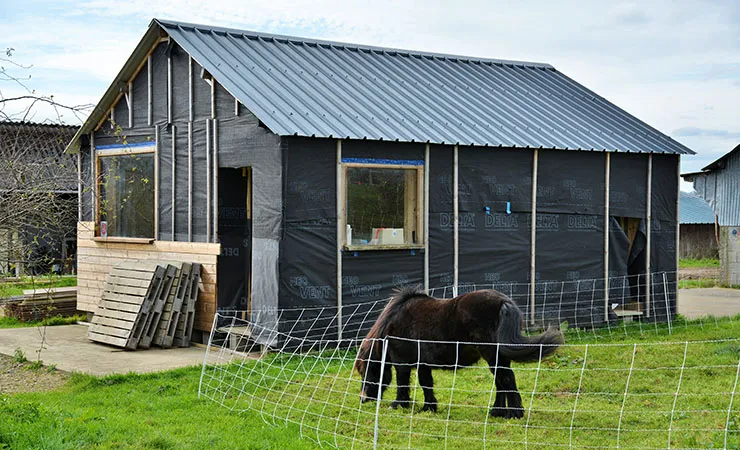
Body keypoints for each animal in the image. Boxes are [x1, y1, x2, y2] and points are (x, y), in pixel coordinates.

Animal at [356, 286, 564, 420]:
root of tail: (504, 303)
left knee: (505, 379)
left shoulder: (402, 362)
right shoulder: (423, 364)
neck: (391, 325)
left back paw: (514, 414)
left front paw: (399, 404)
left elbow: (402, 383)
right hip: (498, 356)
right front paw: (429, 408)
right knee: (501, 381)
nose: (362, 399)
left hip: (492, 354)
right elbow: (426, 384)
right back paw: (497, 412)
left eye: (366, 371)